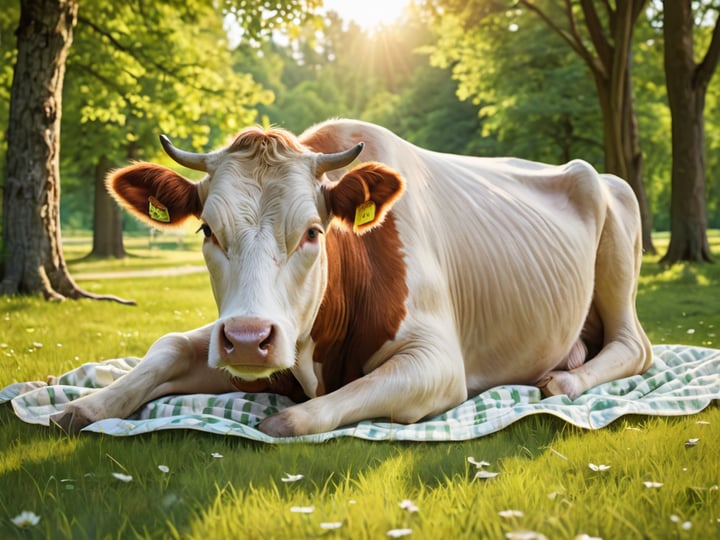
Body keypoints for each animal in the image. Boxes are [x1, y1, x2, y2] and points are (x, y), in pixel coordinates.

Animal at [51, 119, 652, 437]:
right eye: (207, 231)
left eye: (313, 232)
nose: (247, 338)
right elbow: (171, 346)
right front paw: (87, 405)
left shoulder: (439, 362)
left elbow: (292, 422)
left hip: (618, 242)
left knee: (635, 347)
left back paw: (565, 381)